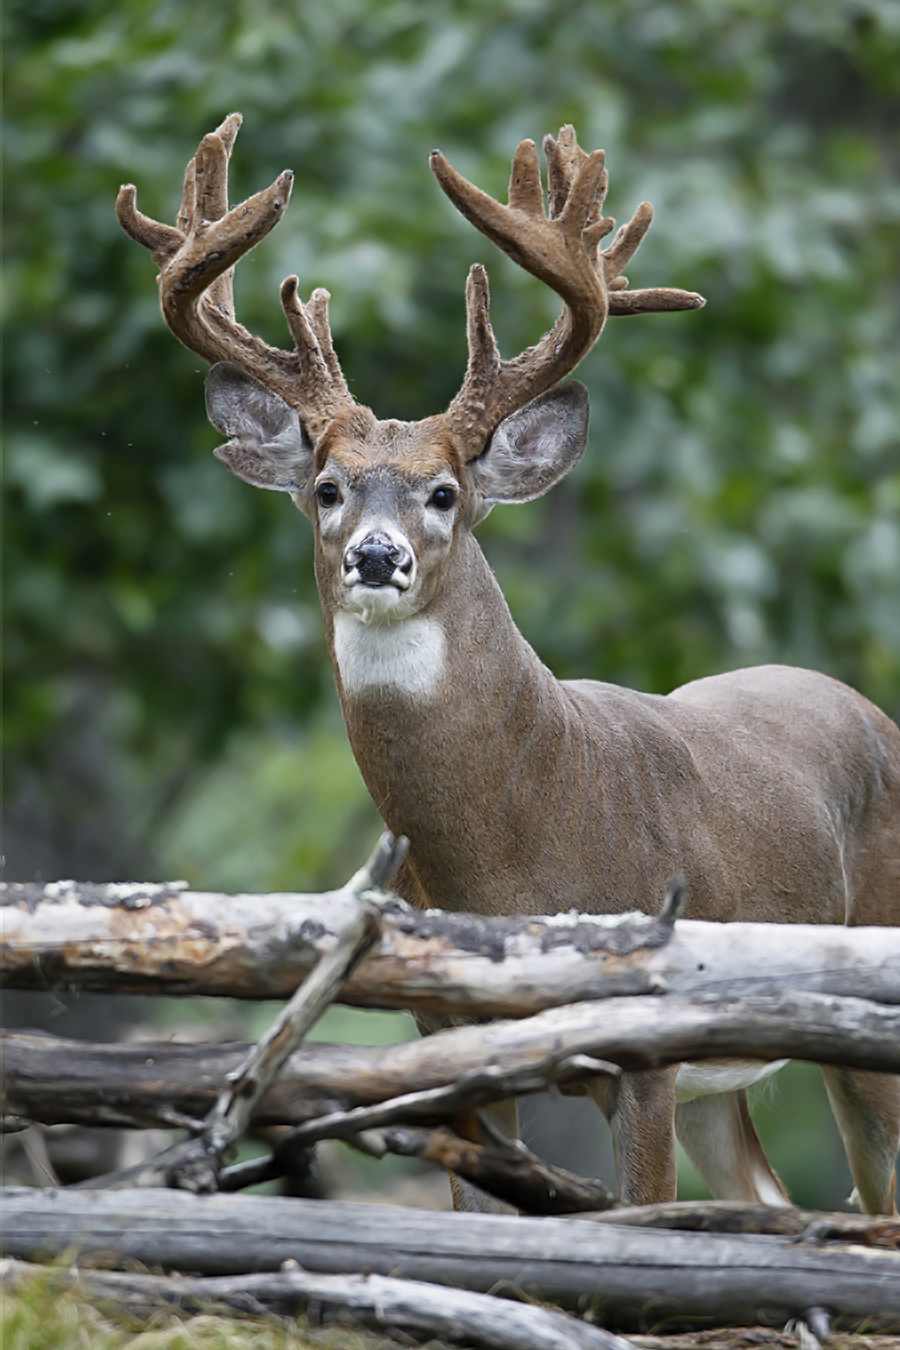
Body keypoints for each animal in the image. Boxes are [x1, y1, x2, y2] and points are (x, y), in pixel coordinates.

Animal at [118, 116, 900, 1215]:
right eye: (326, 487)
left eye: (444, 492)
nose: (377, 556)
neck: (510, 849)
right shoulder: (444, 1032)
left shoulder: (645, 1046)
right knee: (769, 1202)